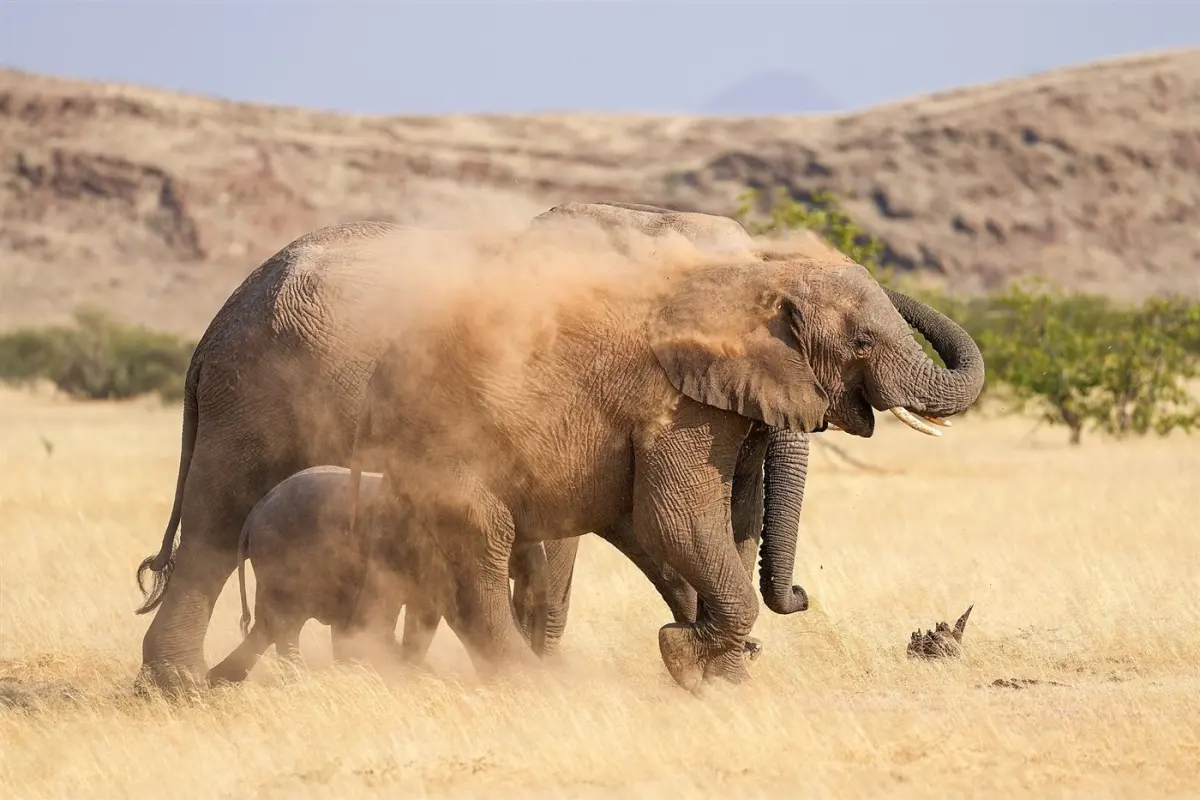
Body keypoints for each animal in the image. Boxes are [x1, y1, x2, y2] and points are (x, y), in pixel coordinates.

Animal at [342, 241, 986, 693]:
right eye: (863, 343)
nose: (804, 593)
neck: (749, 282)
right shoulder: (674, 406)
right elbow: (678, 520)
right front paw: (682, 657)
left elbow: (735, 521)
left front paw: (724, 680)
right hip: (446, 447)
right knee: (482, 542)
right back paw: (528, 682)